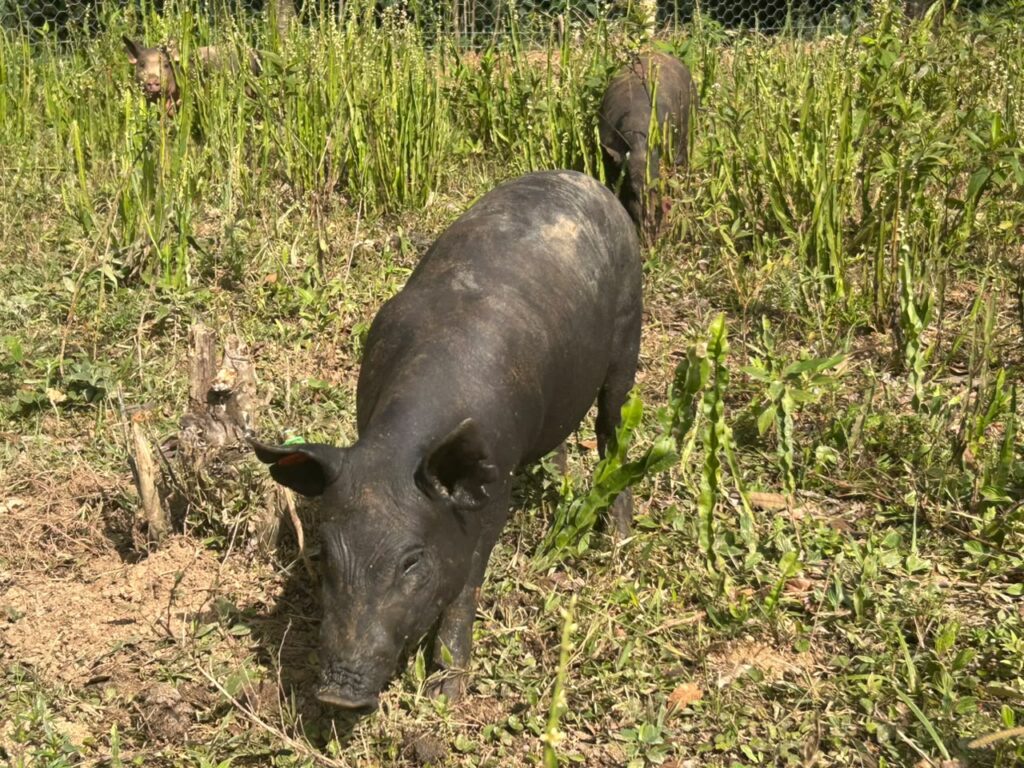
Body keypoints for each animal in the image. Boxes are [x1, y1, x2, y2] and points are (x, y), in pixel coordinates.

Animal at [250, 170, 642, 711]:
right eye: (327, 552)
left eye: (412, 561)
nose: (337, 695)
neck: (400, 448)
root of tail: (583, 178)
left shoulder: (492, 491)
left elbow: (468, 580)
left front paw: (447, 694)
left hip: (629, 329)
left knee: (612, 427)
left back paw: (618, 541)